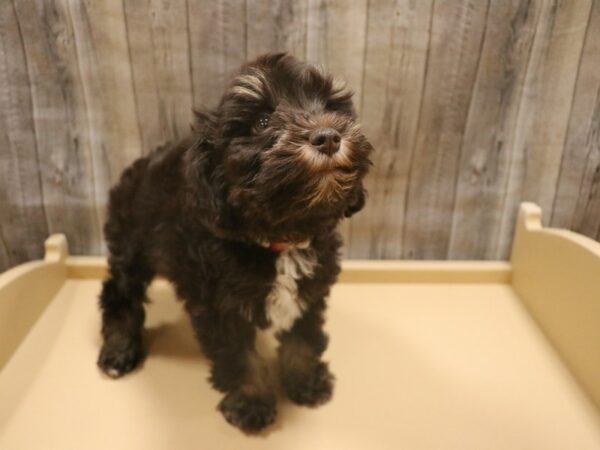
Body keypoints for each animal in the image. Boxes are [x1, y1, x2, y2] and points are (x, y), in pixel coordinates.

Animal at [96, 53, 372, 432]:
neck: (279, 238)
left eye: (330, 106)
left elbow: (303, 337)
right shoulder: (219, 308)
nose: (328, 137)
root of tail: (139, 165)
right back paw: (119, 349)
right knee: (119, 293)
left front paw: (306, 382)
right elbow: (239, 357)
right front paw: (251, 403)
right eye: (262, 121)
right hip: (130, 244)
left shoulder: (310, 291)